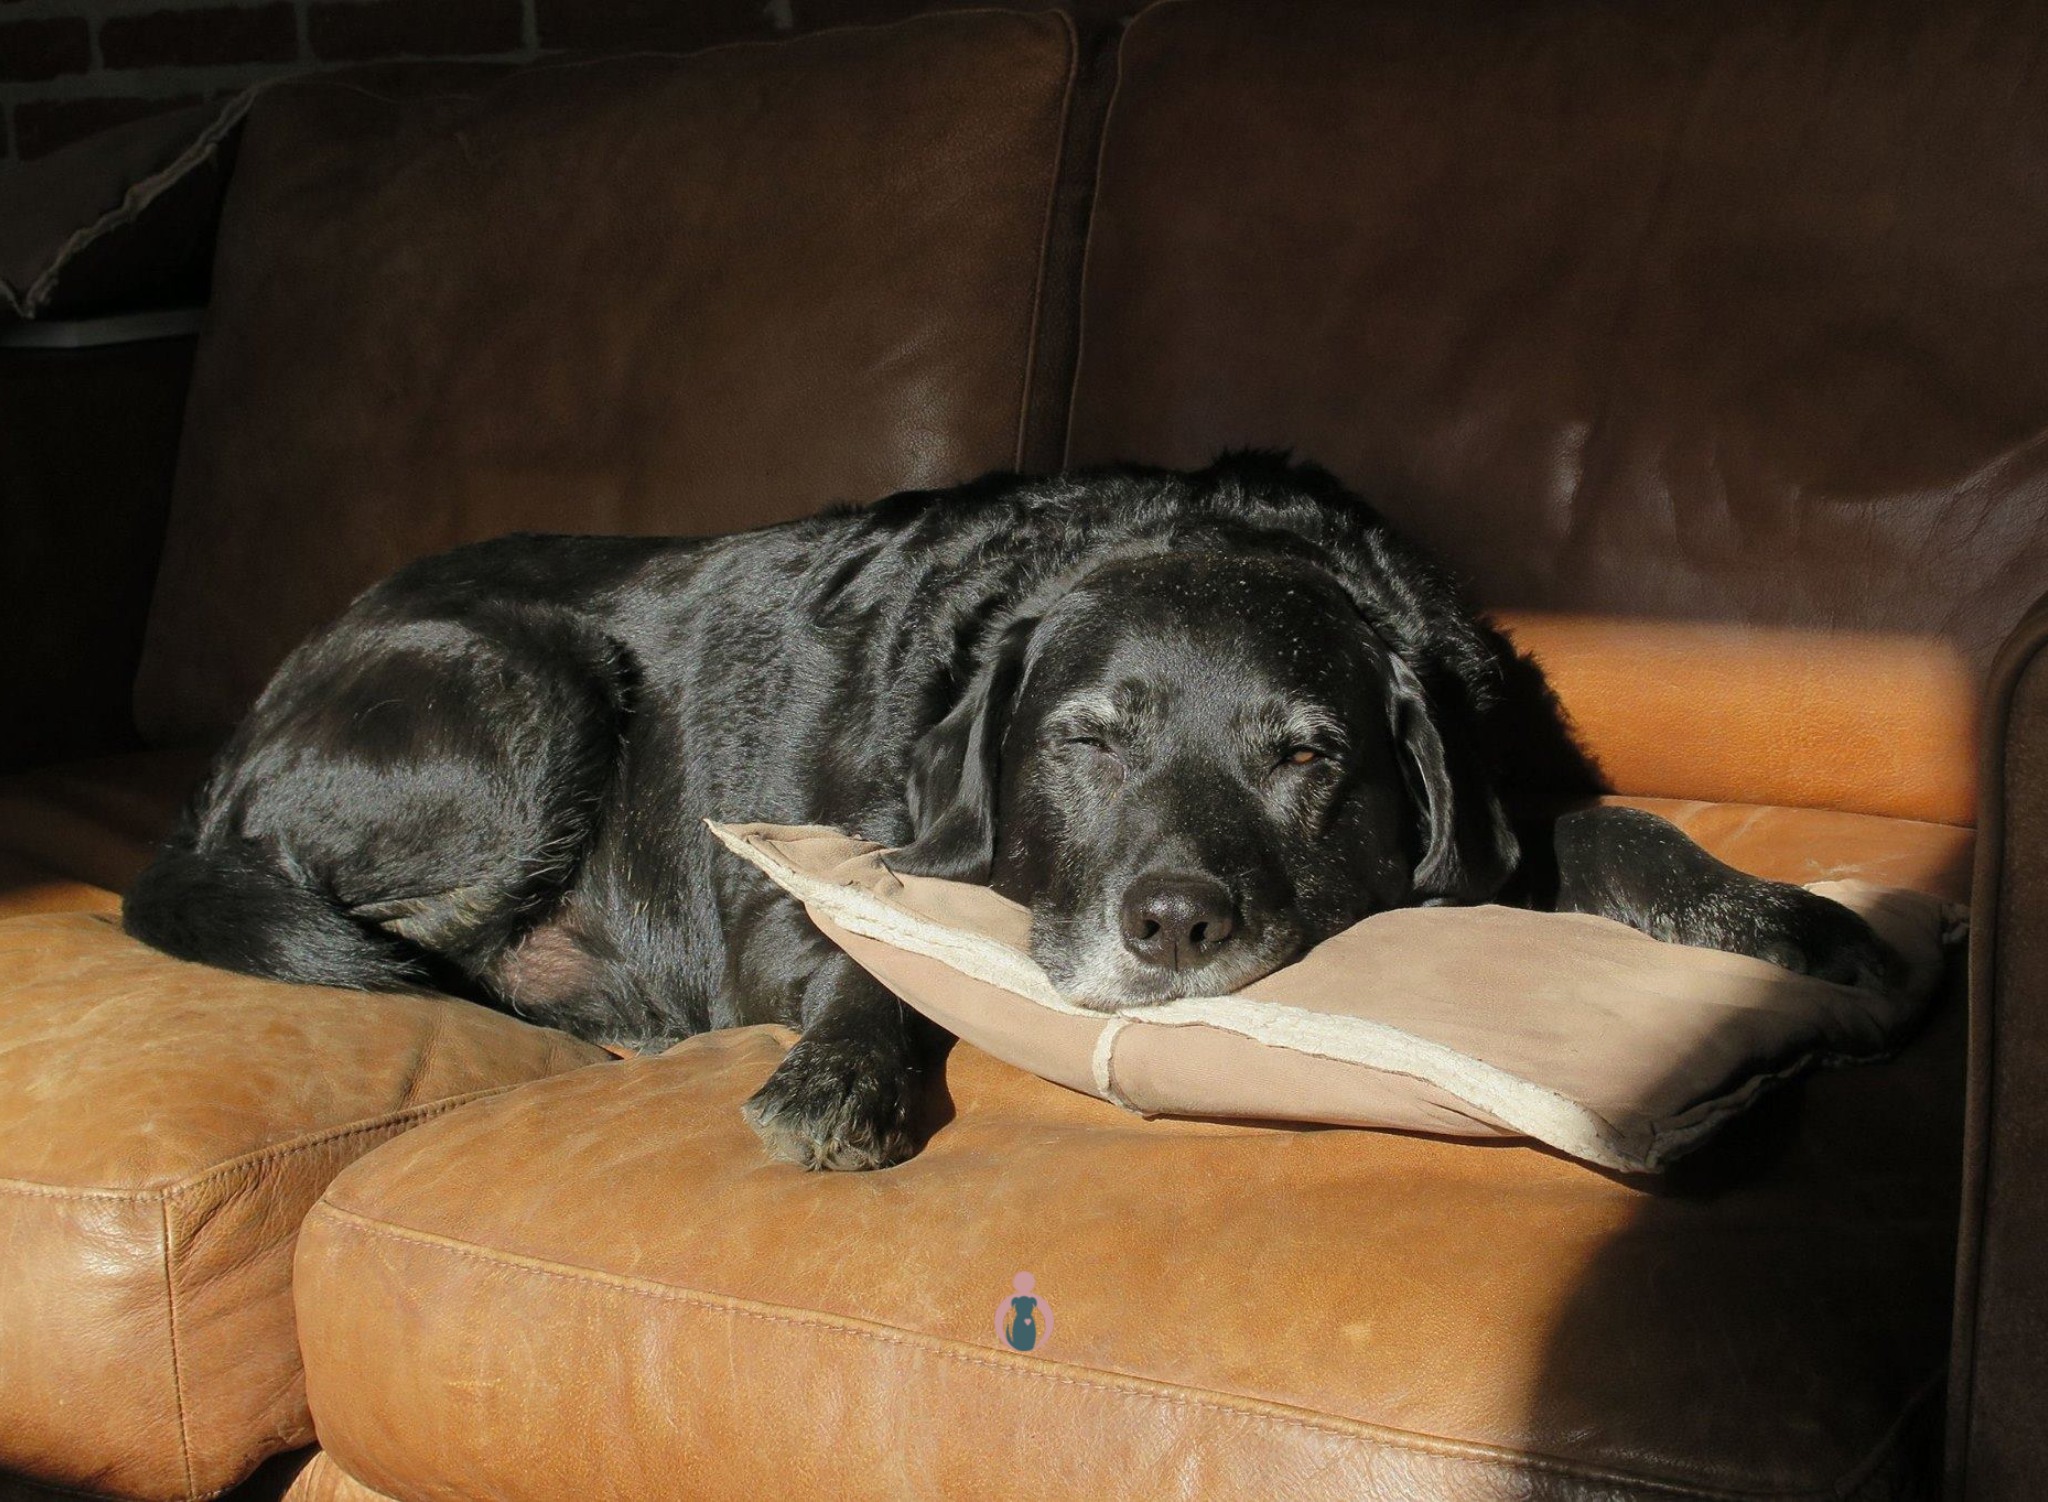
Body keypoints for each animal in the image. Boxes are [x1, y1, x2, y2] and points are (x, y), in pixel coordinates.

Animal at [119, 450, 1892, 1163]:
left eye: (1310, 756)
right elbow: (868, 961)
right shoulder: (803, 884)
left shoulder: (1513, 789)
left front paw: (1790, 921)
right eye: (1089, 741)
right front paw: (838, 1077)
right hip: (529, 690)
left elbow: (1608, 830)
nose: (1173, 921)